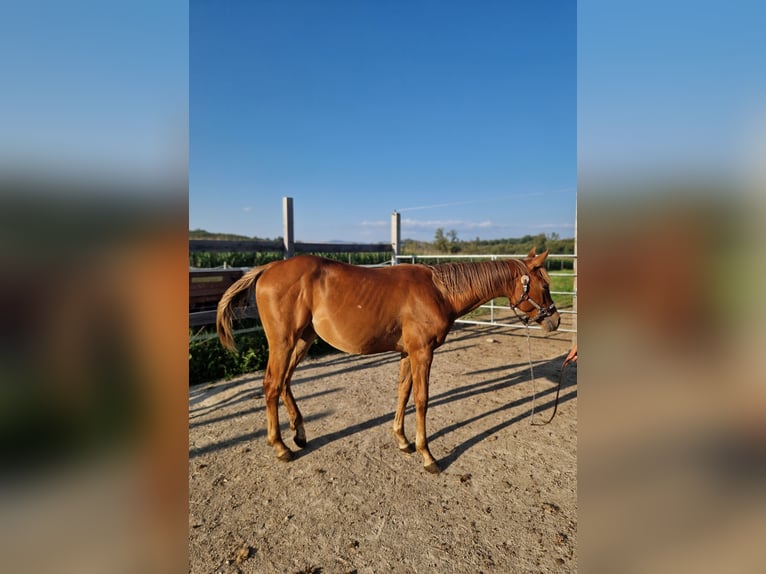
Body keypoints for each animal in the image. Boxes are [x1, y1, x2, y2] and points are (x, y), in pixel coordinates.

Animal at [216, 248, 560, 473]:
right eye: (545, 285)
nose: (554, 321)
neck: (440, 291)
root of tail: (269, 267)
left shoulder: (408, 353)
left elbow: (403, 393)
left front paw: (402, 440)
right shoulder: (422, 353)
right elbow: (421, 400)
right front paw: (427, 455)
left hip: (302, 340)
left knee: (285, 381)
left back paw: (299, 433)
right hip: (284, 342)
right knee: (272, 385)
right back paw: (280, 446)